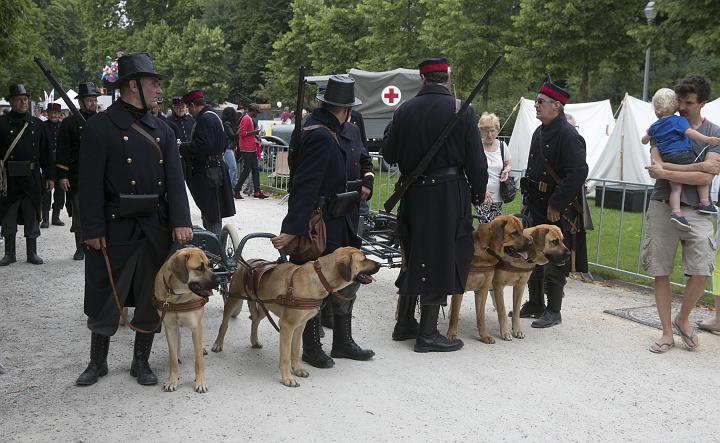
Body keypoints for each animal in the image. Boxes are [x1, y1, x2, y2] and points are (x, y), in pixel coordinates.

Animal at [153, 248, 218, 394]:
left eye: (209, 264)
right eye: (199, 268)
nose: (219, 279)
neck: (177, 296)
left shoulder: (196, 326)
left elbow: (198, 360)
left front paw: (200, 382)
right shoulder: (169, 327)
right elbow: (172, 358)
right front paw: (172, 380)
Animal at [212, 246, 382, 388]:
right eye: (364, 259)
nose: (380, 265)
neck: (320, 278)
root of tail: (248, 263)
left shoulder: (300, 326)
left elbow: (294, 350)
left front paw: (297, 369)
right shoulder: (287, 326)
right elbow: (285, 356)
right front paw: (287, 378)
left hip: (263, 307)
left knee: (255, 320)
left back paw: (254, 341)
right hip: (233, 299)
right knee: (224, 324)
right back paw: (218, 344)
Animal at [448, 217, 532, 346]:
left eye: (522, 230)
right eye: (514, 233)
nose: (531, 243)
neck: (485, 250)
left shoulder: (484, 290)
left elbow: (481, 316)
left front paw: (484, 336)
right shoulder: (462, 289)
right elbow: (455, 315)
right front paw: (451, 334)